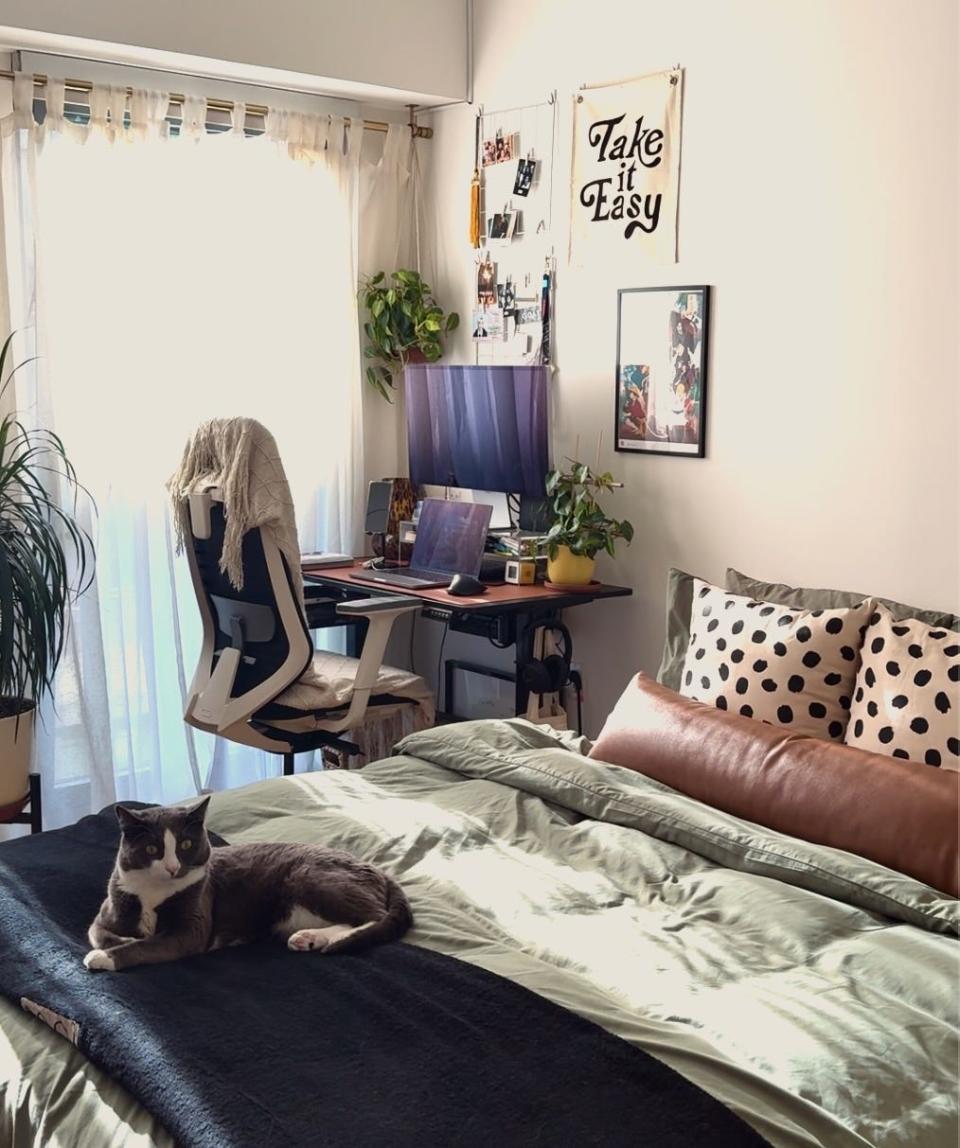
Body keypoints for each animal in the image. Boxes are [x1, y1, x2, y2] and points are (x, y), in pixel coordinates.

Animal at [84, 803, 411, 973]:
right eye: (152, 849)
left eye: (185, 845)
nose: (173, 868)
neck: (155, 892)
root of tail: (379, 870)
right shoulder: (109, 908)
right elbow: (97, 932)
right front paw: (117, 941)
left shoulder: (192, 926)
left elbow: (149, 945)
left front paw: (103, 957)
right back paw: (309, 938)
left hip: (310, 876)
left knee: (375, 916)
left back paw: (330, 940)